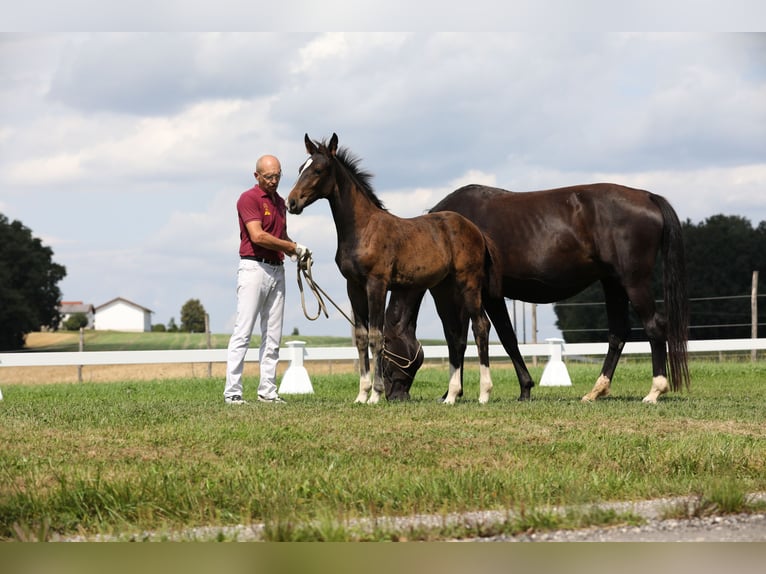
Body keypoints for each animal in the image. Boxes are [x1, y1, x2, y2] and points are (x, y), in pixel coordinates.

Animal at [290, 135, 504, 404]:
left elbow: (376, 337)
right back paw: (452, 396)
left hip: (469, 283)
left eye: (318, 170)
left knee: (480, 327)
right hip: (445, 288)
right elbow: (361, 337)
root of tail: (475, 230)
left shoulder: (376, 284)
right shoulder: (354, 287)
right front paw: (361, 395)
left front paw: (375, 395)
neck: (363, 229)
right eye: (300, 168)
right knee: (455, 335)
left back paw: (484, 393)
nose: (291, 202)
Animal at [384, 184, 688, 404]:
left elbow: (463, 339)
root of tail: (647, 197)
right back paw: (595, 391)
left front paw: (452, 394)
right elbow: (507, 339)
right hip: (613, 283)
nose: (392, 395)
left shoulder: (464, 296)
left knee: (654, 326)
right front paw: (525, 389)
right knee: (618, 333)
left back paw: (654, 391)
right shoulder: (491, 297)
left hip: (632, 281)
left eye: (386, 345)